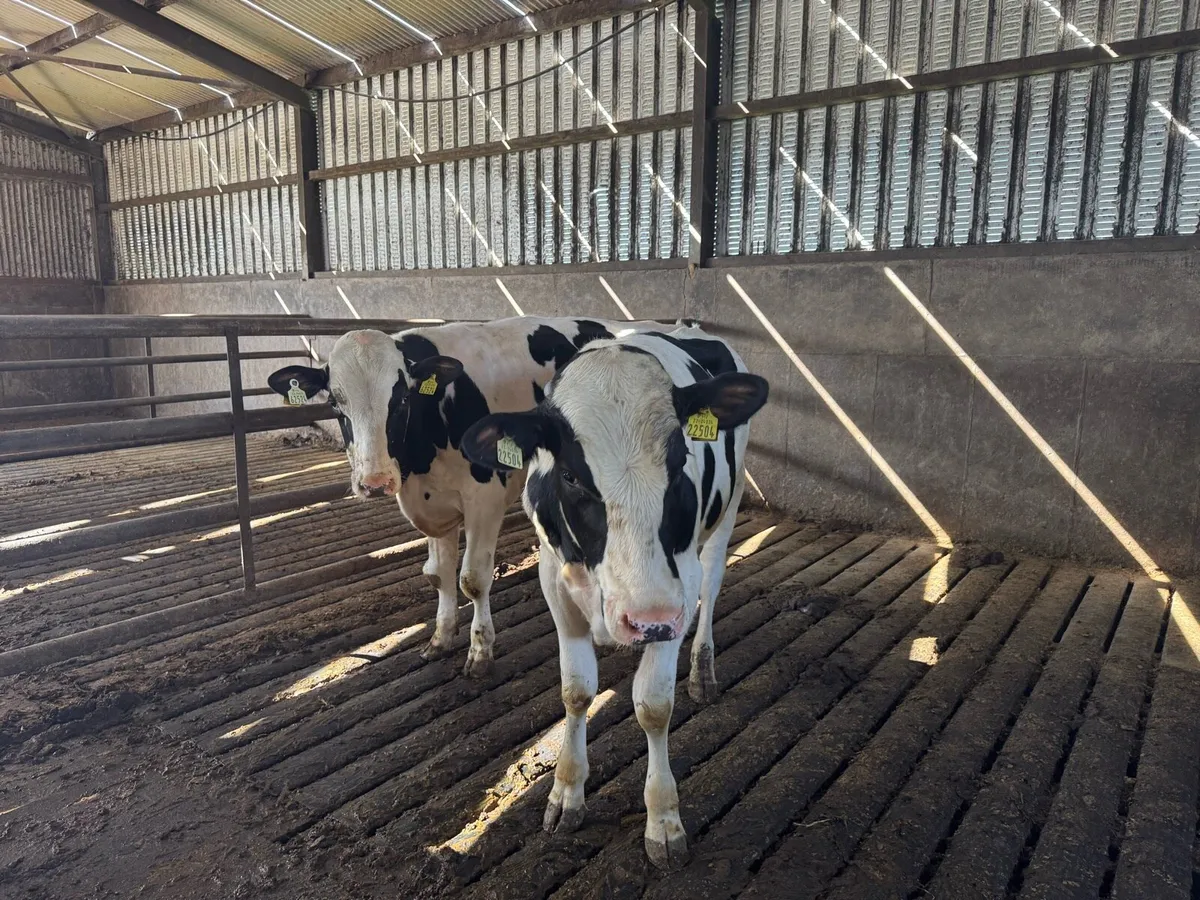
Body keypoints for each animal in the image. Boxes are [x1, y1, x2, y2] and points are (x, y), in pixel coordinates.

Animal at [267, 317, 670, 678]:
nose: (375, 481)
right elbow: (439, 575)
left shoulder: (484, 501)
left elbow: (472, 579)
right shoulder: (432, 504)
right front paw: (441, 637)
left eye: (401, 399)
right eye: (336, 403)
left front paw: (479, 652)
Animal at [460, 324, 769, 868]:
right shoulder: (554, 578)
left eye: (679, 460)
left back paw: (703, 668)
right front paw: (566, 792)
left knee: (712, 585)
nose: (648, 620)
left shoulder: (676, 590)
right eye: (570, 475)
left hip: (726, 512)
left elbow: (654, 705)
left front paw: (663, 819)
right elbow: (576, 691)